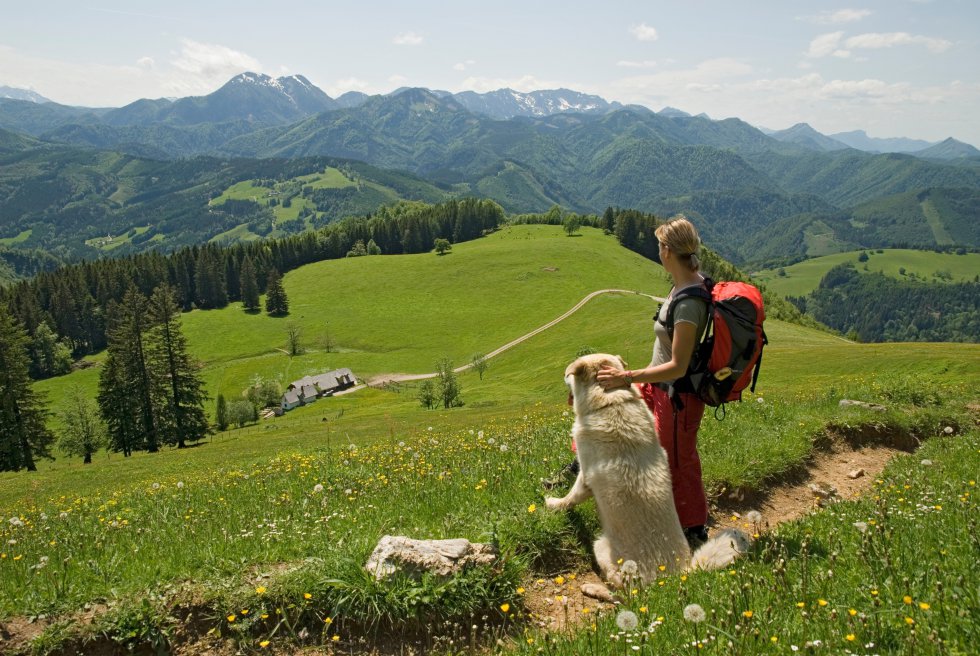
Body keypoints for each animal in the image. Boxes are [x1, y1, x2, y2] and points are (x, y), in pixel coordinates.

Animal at [544, 352, 752, 588]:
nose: (563, 375)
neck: (611, 401)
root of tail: (679, 574)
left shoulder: (585, 478)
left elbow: (570, 497)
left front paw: (554, 504)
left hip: (601, 547)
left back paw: (593, 587)